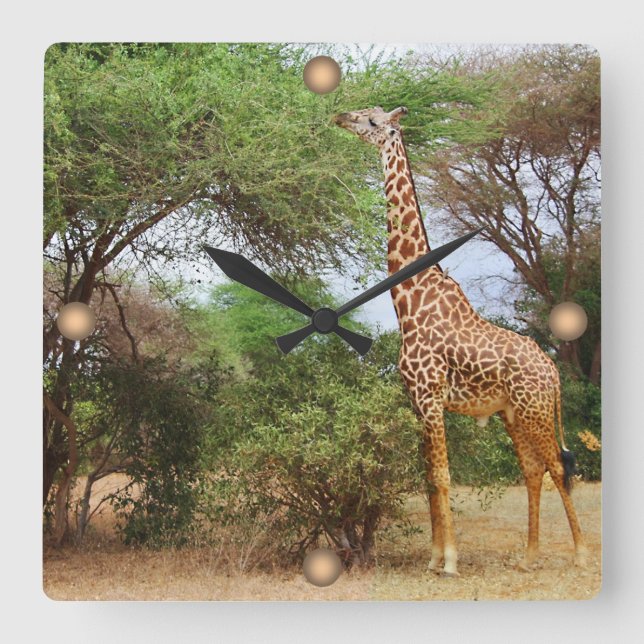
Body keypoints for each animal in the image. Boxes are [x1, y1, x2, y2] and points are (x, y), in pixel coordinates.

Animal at [334, 106, 587, 576]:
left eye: (373, 122)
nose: (341, 116)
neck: (409, 299)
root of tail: (553, 371)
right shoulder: (416, 400)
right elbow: (428, 479)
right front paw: (434, 558)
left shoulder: (431, 397)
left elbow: (443, 476)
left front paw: (450, 561)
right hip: (513, 413)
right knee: (532, 469)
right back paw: (529, 556)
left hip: (536, 409)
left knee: (558, 466)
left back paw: (580, 554)